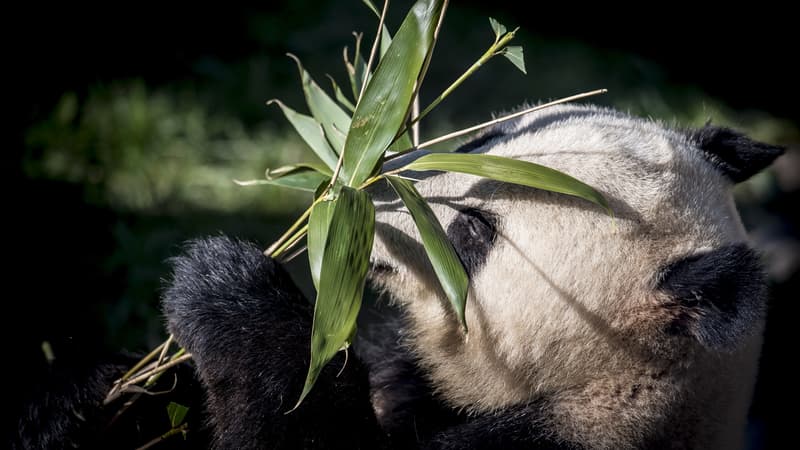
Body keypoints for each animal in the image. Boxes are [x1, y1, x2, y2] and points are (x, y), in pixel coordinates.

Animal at [11, 104, 783, 449]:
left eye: (473, 229)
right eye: (490, 138)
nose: (370, 189)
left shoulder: (559, 443)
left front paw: (227, 295)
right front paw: (84, 396)